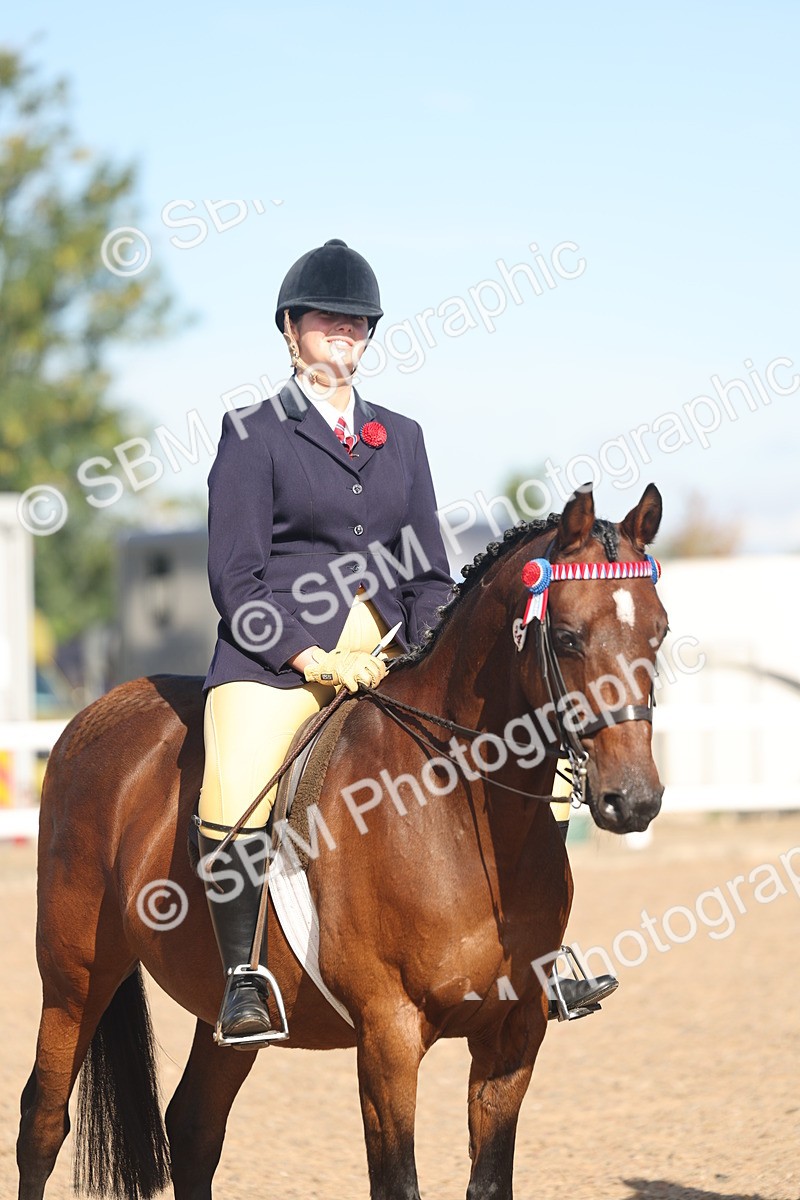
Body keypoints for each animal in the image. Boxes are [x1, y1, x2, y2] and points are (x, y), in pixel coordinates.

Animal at [17, 482, 668, 1200]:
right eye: (569, 637)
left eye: (659, 632)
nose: (635, 798)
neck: (459, 814)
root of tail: (96, 712)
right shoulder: (389, 1035)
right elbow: (398, 1182)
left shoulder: (514, 1033)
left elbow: (490, 1180)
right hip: (75, 976)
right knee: (43, 1120)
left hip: (224, 1015)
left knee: (192, 1128)